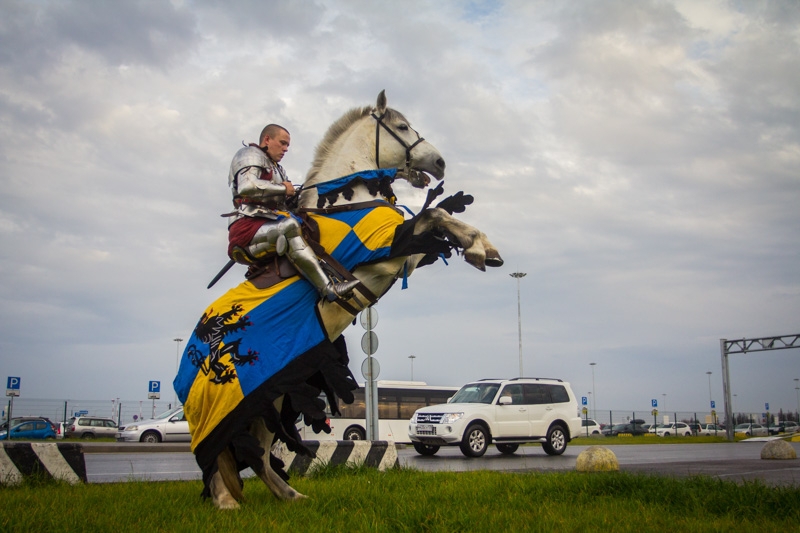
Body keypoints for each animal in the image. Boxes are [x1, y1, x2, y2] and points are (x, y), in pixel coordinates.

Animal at [175, 90, 500, 508]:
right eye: (401, 126)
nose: (439, 162)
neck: (346, 199)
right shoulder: (389, 251)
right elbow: (436, 216)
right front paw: (479, 246)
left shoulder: (406, 255)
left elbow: (439, 218)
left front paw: (481, 245)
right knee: (219, 455)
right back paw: (226, 501)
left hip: (270, 402)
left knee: (258, 456)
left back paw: (292, 496)